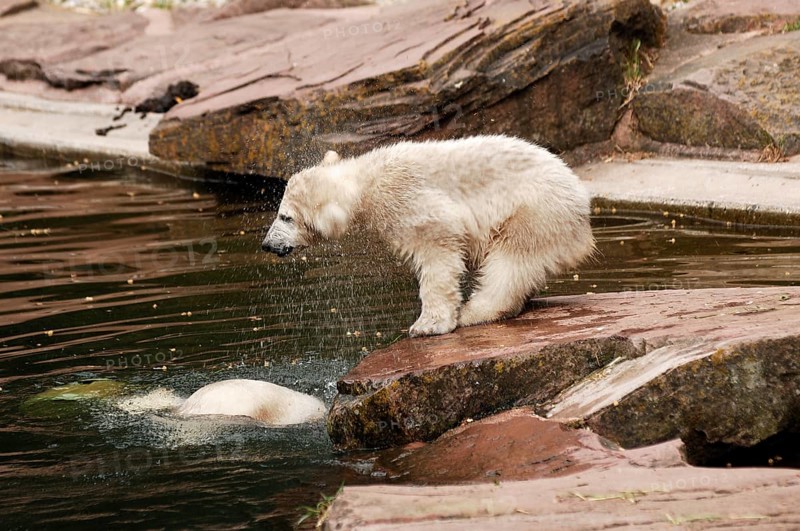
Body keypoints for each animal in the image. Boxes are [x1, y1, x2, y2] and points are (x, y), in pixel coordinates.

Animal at [262, 135, 595, 337]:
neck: (368, 178)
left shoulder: (408, 200)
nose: (267, 244)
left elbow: (438, 250)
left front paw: (426, 325)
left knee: (511, 260)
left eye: (286, 217)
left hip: (534, 211)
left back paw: (475, 311)